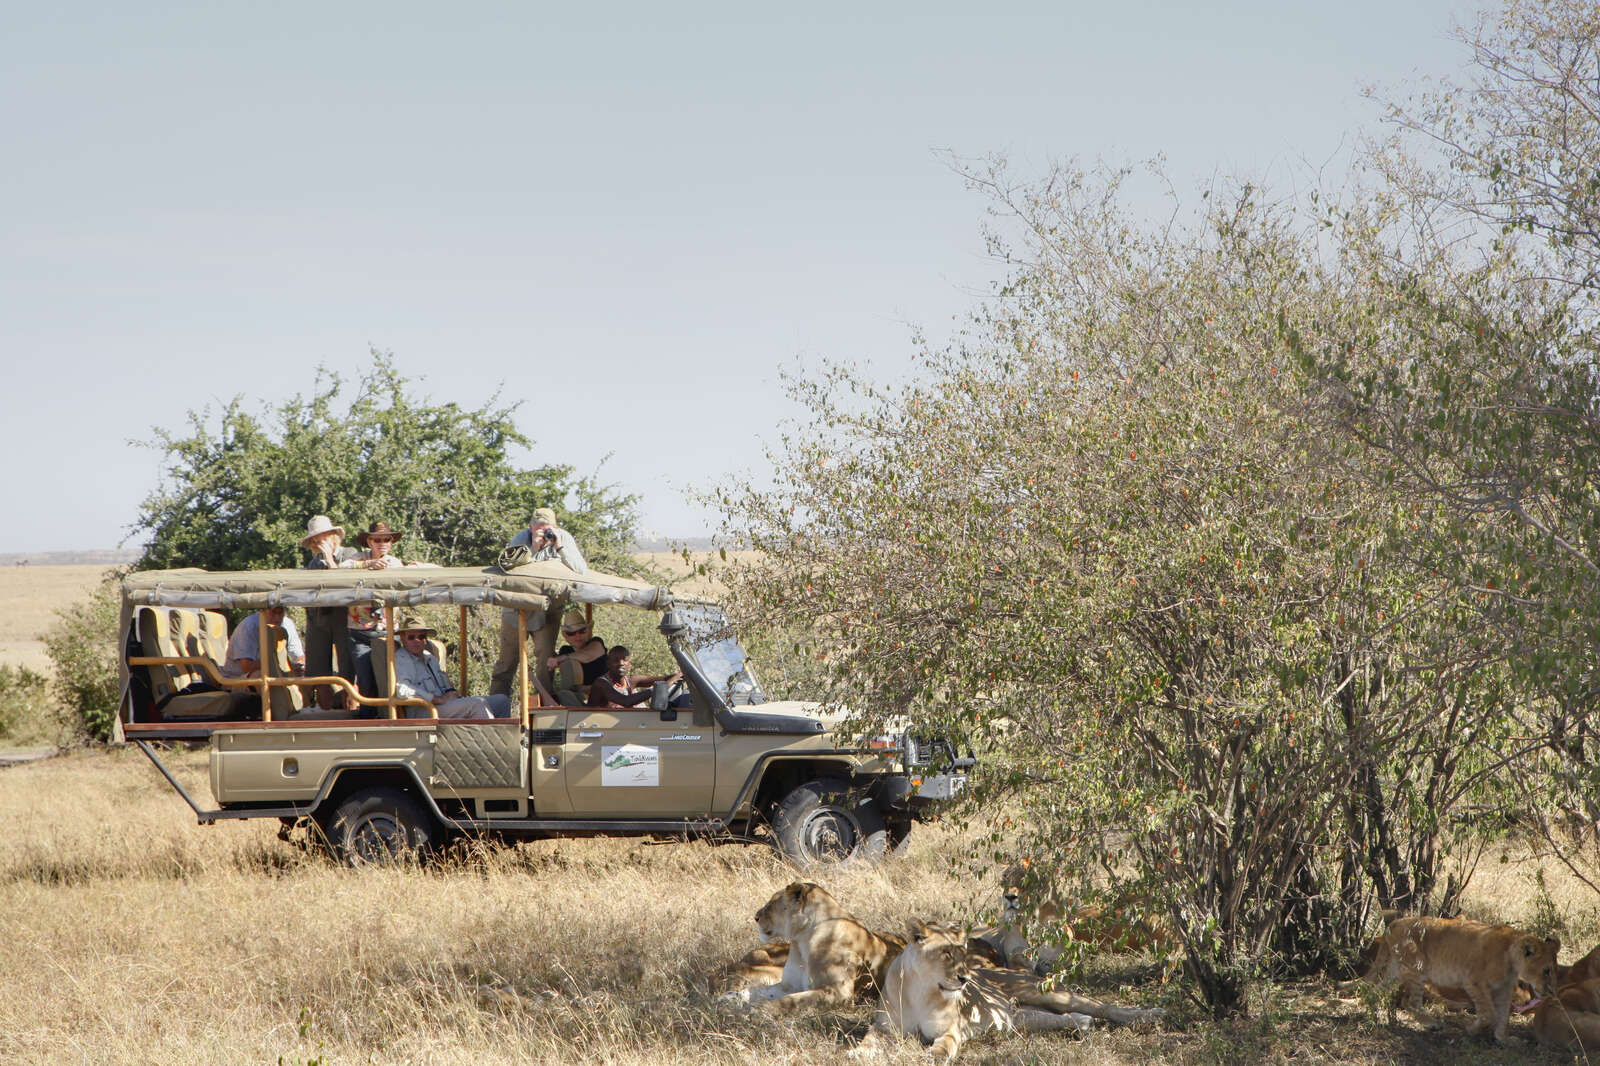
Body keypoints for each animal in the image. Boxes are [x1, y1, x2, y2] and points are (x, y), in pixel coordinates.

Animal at [723, 877, 902, 1011]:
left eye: (770, 905)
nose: (756, 917)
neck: (801, 939)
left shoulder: (840, 991)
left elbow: (790, 1001)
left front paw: (762, 1010)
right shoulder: (788, 984)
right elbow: (755, 991)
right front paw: (729, 998)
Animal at [851, 915, 1164, 1056]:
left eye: (963, 952)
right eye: (946, 953)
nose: (965, 978)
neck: (922, 990)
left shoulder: (954, 1027)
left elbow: (948, 1041)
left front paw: (937, 1054)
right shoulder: (883, 1028)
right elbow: (868, 1039)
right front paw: (857, 1053)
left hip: (1044, 992)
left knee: (1107, 1007)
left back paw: (1149, 1014)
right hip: (1021, 1018)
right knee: (1062, 1018)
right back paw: (1082, 1023)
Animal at [1356, 909, 1555, 1043]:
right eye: (1546, 970)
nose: (1550, 992)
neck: (1511, 957)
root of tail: (1393, 924)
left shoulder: (1504, 989)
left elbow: (1503, 1015)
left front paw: (1503, 1039)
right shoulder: (1473, 982)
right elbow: (1489, 1014)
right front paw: (1472, 1029)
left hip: (1396, 970)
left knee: (1373, 992)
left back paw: (1372, 1015)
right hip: (1417, 966)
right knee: (1409, 1002)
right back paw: (1432, 1023)